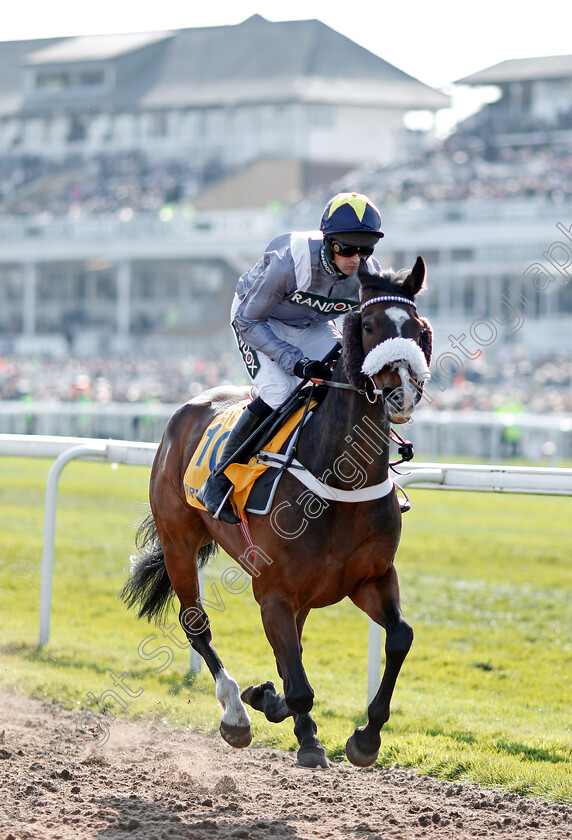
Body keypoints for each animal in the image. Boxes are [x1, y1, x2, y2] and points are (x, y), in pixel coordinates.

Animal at [122, 256, 434, 768]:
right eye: (369, 324)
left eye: (419, 329)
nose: (401, 392)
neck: (339, 480)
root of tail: (189, 406)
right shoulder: (272, 590)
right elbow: (298, 683)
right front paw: (287, 722)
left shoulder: (369, 578)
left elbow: (398, 638)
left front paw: (365, 737)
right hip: (177, 541)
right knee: (196, 625)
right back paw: (235, 711)